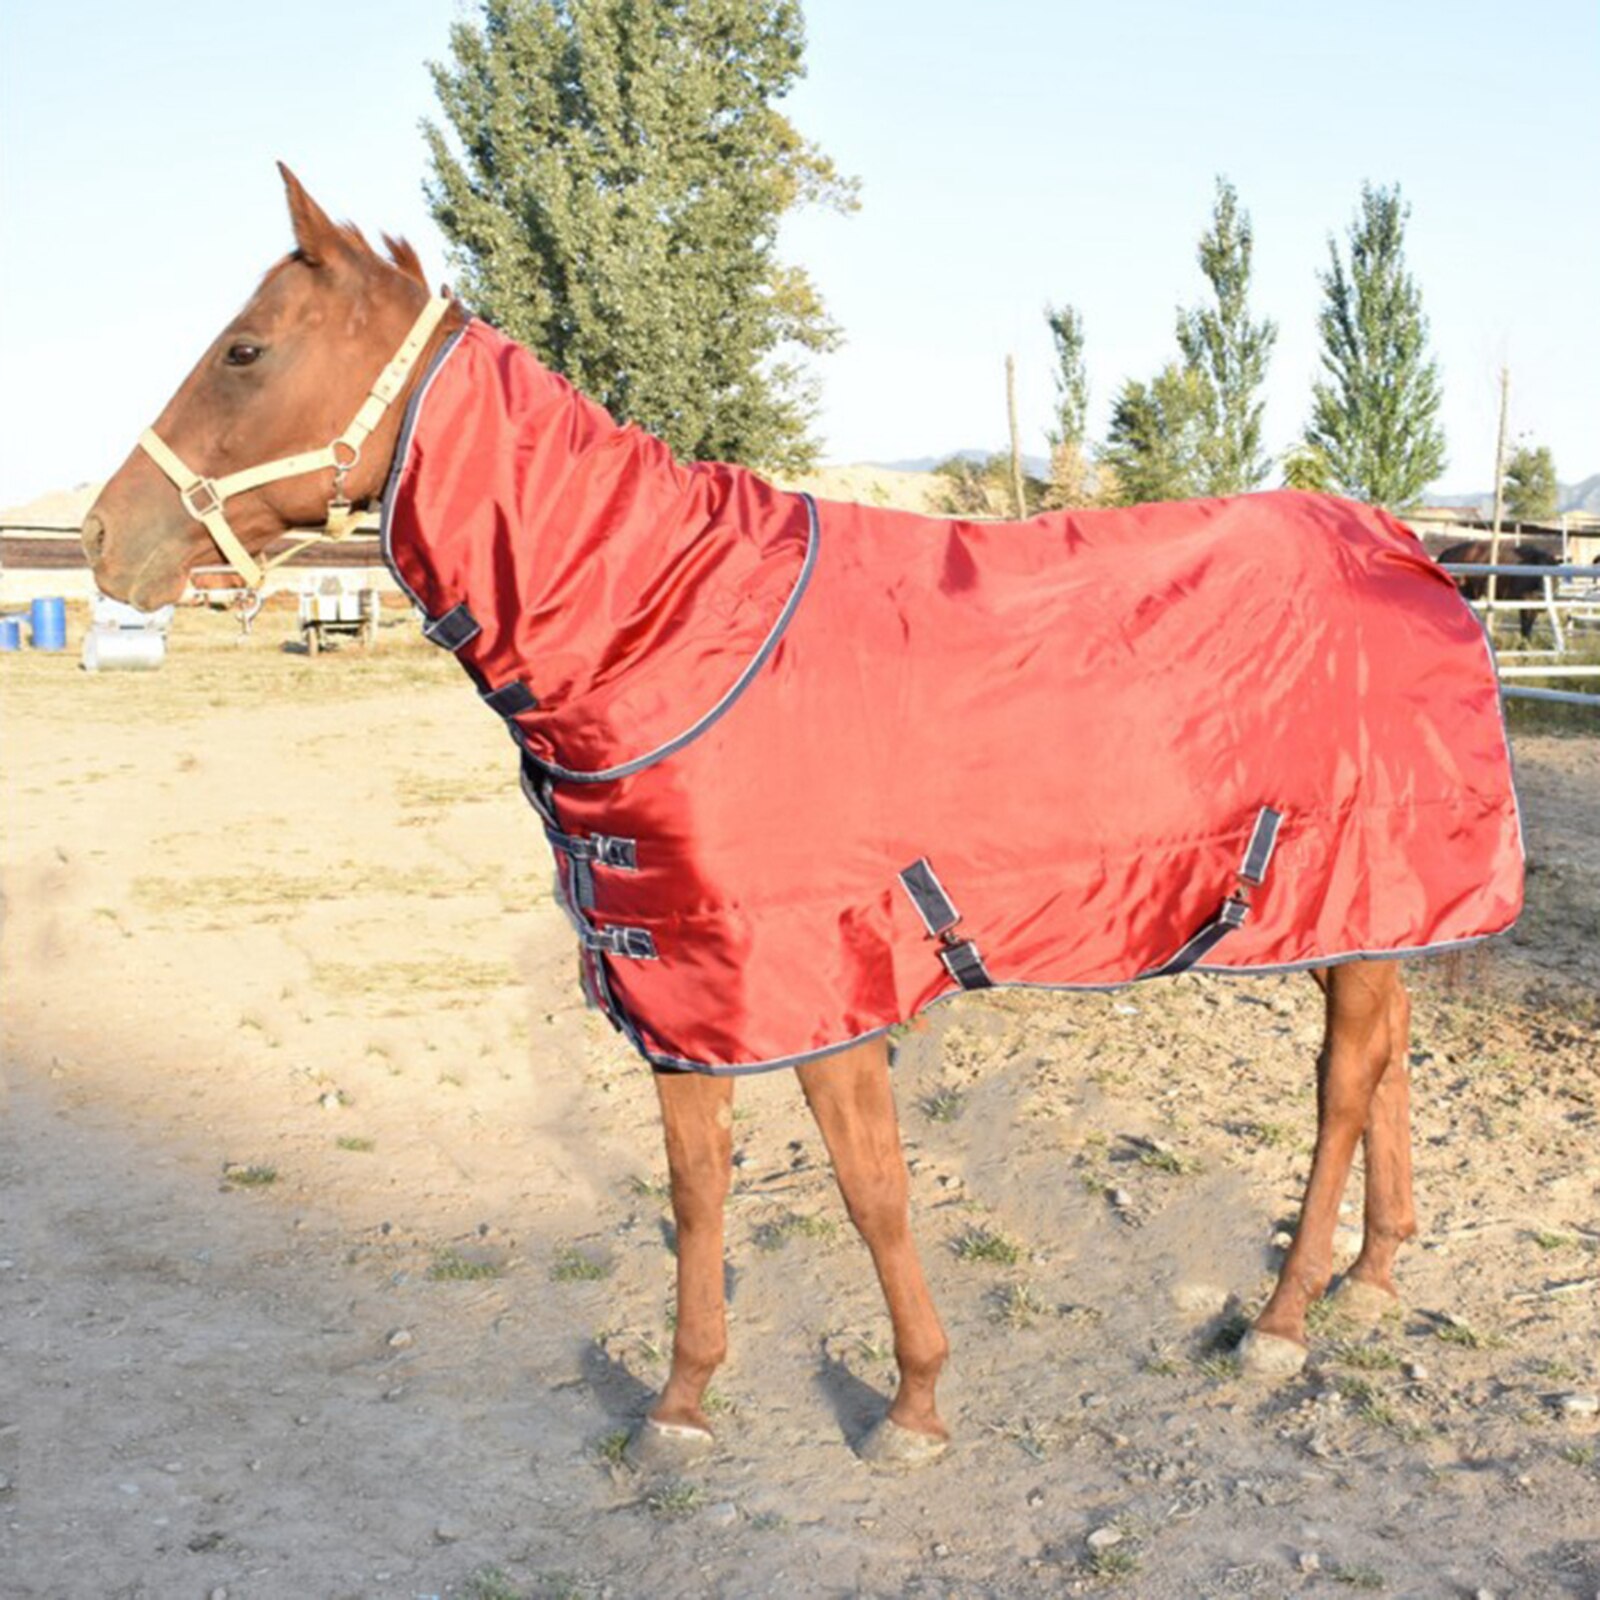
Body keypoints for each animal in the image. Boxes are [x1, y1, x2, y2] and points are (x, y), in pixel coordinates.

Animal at [82, 167, 1522, 1474]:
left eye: (245, 350)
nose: (101, 538)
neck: (670, 628)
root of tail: (1413, 548)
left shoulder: (827, 973)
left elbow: (872, 1193)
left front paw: (915, 1404)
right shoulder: (679, 981)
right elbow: (697, 1191)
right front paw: (681, 1403)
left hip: (1351, 880)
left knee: (1341, 1085)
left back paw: (1281, 1319)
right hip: (1364, 913)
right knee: (1384, 1065)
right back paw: (1370, 1280)